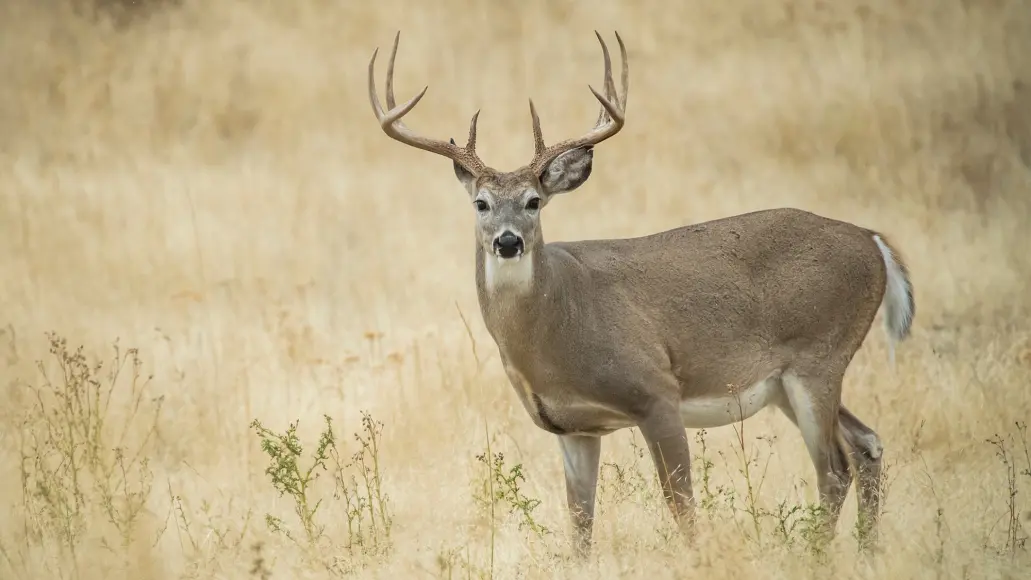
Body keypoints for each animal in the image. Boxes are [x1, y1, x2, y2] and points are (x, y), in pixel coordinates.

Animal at [367, 29, 915, 556]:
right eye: (481, 203)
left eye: (533, 201)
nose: (508, 241)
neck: (556, 330)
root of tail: (873, 241)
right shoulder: (575, 427)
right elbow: (580, 526)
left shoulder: (656, 390)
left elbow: (682, 506)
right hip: (789, 381)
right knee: (867, 445)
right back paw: (868, 553)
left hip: (818, 355)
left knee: (835, 468)